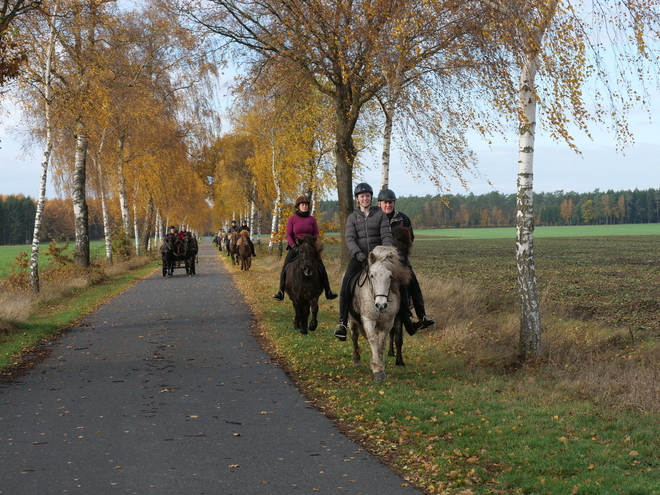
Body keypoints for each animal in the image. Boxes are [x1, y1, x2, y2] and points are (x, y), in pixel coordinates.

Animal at [348, 246, 410, 382]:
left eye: (390, 276)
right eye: (372, 276)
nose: (381, 306)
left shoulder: (388, 322)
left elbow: (381, 342)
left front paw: (380, 365)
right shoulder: (368, 319)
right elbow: (373, 339)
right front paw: (377, 369)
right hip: (352, 320)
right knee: (354, 337)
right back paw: (356, 361)